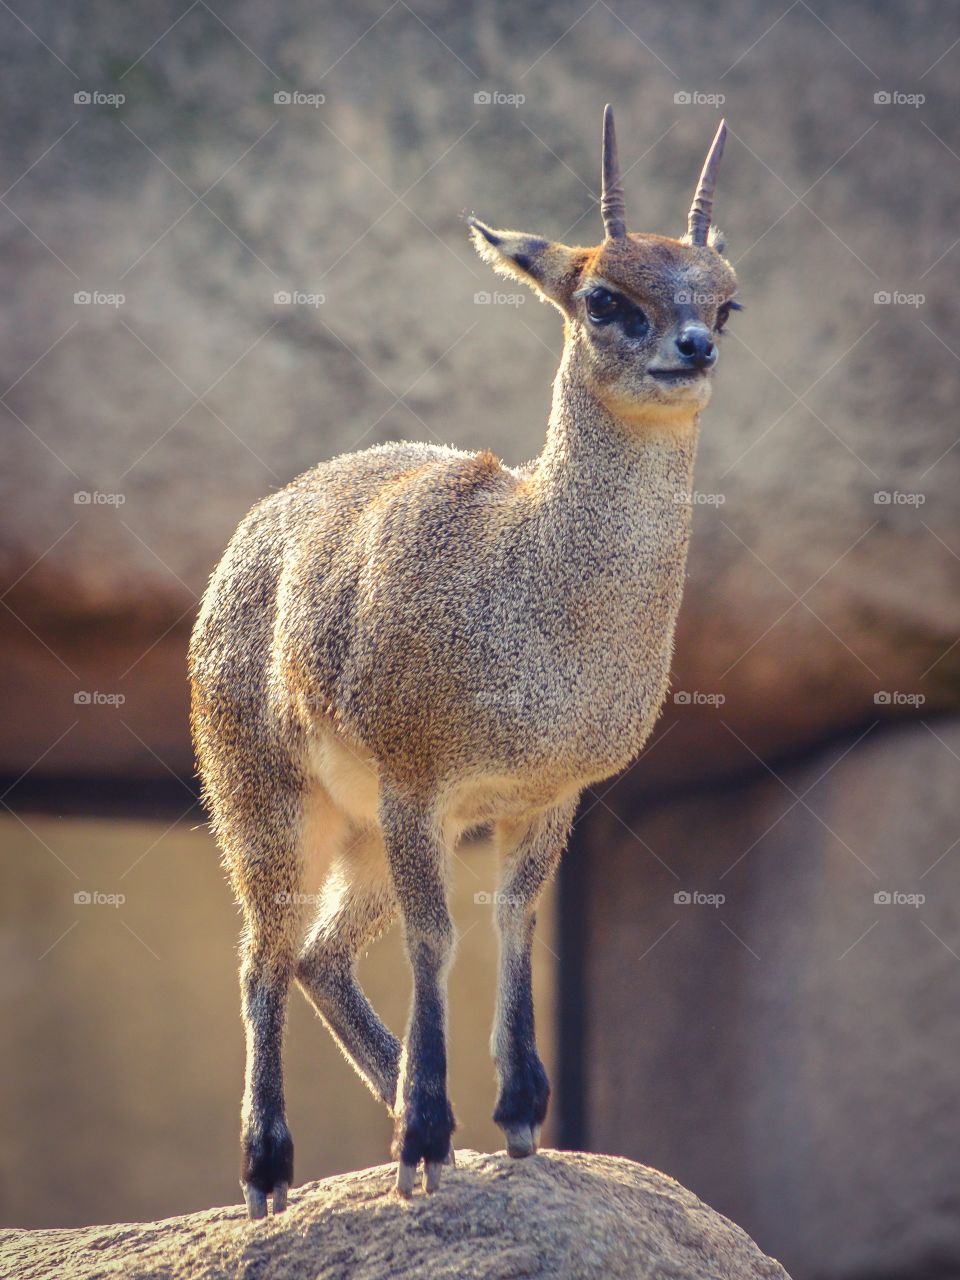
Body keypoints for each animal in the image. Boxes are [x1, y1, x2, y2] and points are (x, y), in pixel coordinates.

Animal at [192, 104, 742, 1213]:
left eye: (727, 299)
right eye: (604, 296)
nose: (694, 346)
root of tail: (251, 535)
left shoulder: (546, 795)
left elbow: (517, 923)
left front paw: (517, 1120)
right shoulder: (421, 785)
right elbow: (438, 939)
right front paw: (431, 1136)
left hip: (362, 833)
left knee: (318, 956)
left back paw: (407, 1114)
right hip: (268, 801)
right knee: (262, 953)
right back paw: (272, 1169)